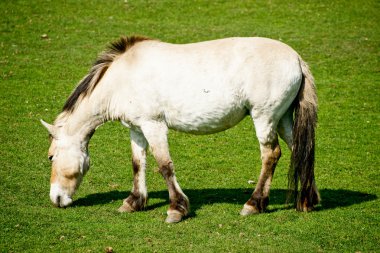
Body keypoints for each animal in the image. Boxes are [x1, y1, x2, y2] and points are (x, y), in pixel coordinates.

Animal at [41, 36, 320, 223]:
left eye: (51, 157)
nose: (55, 199)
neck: (123, 76)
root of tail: (296, 59)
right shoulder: (137, 129)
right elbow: (138, 164)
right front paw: (133, 202)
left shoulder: (154, 125)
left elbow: (164, 165)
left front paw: (176, 209)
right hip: (282, 119)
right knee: (300, 151)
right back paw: (309, 200)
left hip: (265, 118)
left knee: (271, 155)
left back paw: (254, 204)